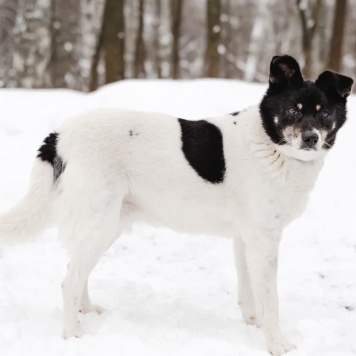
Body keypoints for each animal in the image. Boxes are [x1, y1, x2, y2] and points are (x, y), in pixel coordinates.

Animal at [0, 55, 354, 354]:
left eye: (324, 113)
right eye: (294, 110)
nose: (310, 139)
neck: (271, 144)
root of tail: (58, 136)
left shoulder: (246, 239)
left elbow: (249, 293)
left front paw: (253, 325)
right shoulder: (264, 240)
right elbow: (272, 299)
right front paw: (277, 344)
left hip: (105, 225)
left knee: (76, 271)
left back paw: (85, 311)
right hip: (98, 224)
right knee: (69, 281)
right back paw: (73, 336)